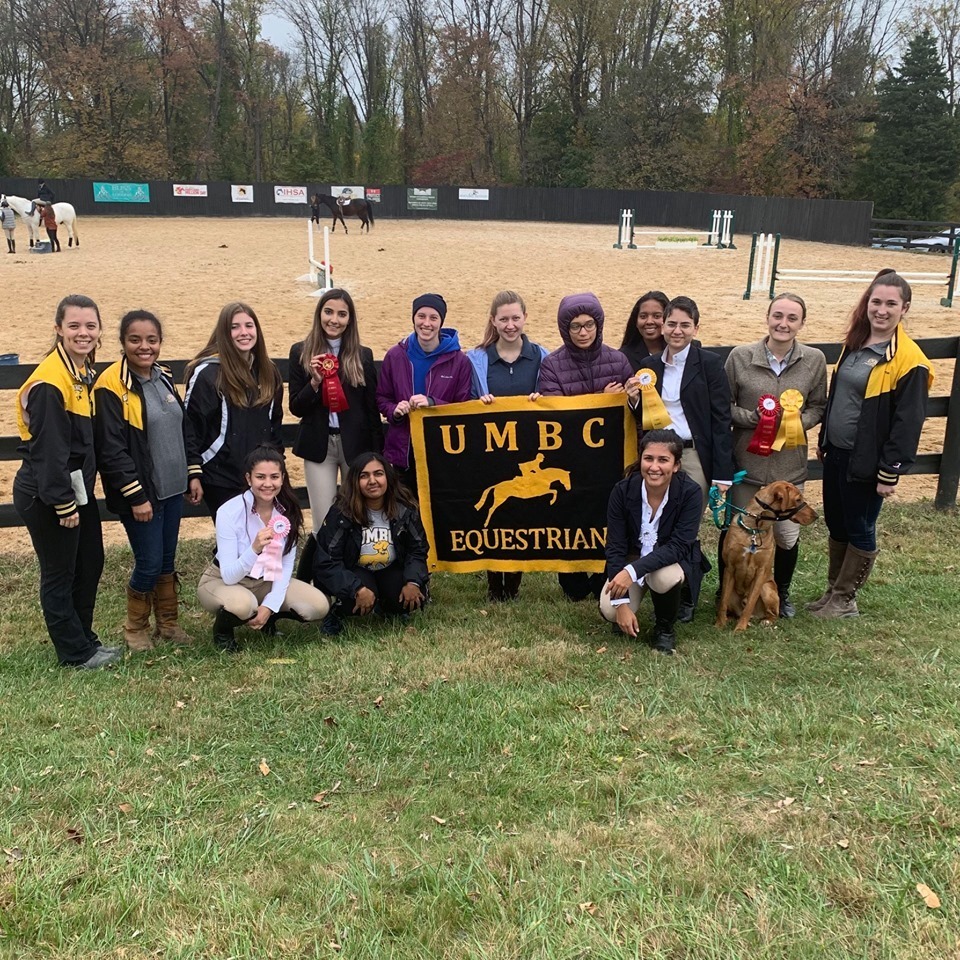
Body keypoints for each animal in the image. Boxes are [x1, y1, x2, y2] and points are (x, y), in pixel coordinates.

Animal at [712, 478, 816, 632]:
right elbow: (723, 603)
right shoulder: (729, 568)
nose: (816, 516)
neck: (755, 529)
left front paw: (740, 629)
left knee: (771, 613)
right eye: (798, 500)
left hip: (768, 589)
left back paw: (765, 621)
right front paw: (719, 625)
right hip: (733, 592)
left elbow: (750, 604)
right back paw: (730, 618)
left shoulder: (761, 573)